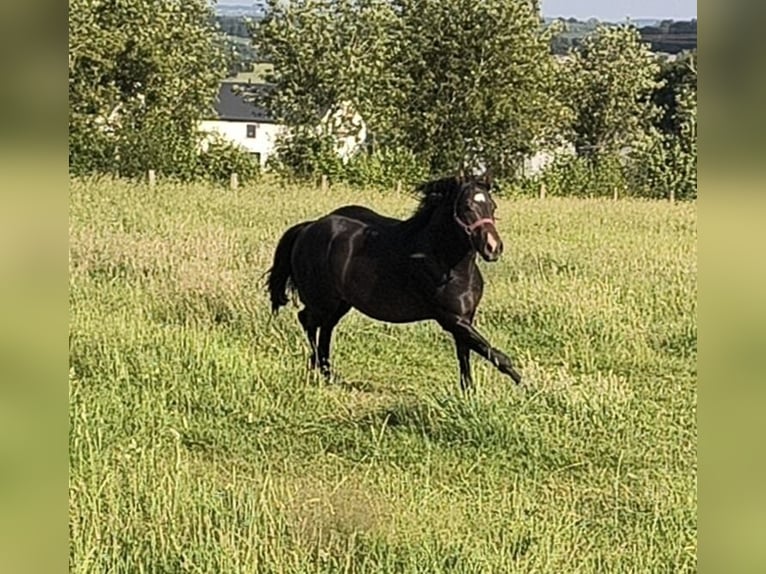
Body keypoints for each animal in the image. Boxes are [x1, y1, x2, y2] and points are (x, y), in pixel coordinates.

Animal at [267, 171, 522, 391]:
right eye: (467, 207)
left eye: (492, 206)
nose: (493, 248)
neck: (446, 263)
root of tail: (307, 228)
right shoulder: (450, 318)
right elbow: (496, 355)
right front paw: (523, 383)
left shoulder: (465, 318)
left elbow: (466, 355)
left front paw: (469, 391)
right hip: (323, 302)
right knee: (307, 321)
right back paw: (317, 368)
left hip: (340, 303)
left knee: (325, 329)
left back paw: (328, 373)